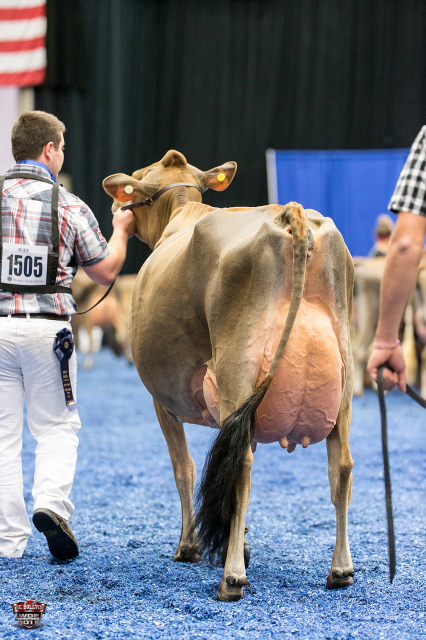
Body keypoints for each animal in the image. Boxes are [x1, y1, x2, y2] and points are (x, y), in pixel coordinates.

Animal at [102, 152, 352, 604]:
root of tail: (290, 213)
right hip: (343, 373)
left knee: (241, 467)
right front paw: (243, 542)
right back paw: (340, 569)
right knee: (339, 465)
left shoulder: (162, 401)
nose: (117, 211)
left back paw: (232, 577)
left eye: (139, 180)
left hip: (239, 364)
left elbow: (183, 467)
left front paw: (190, 546)